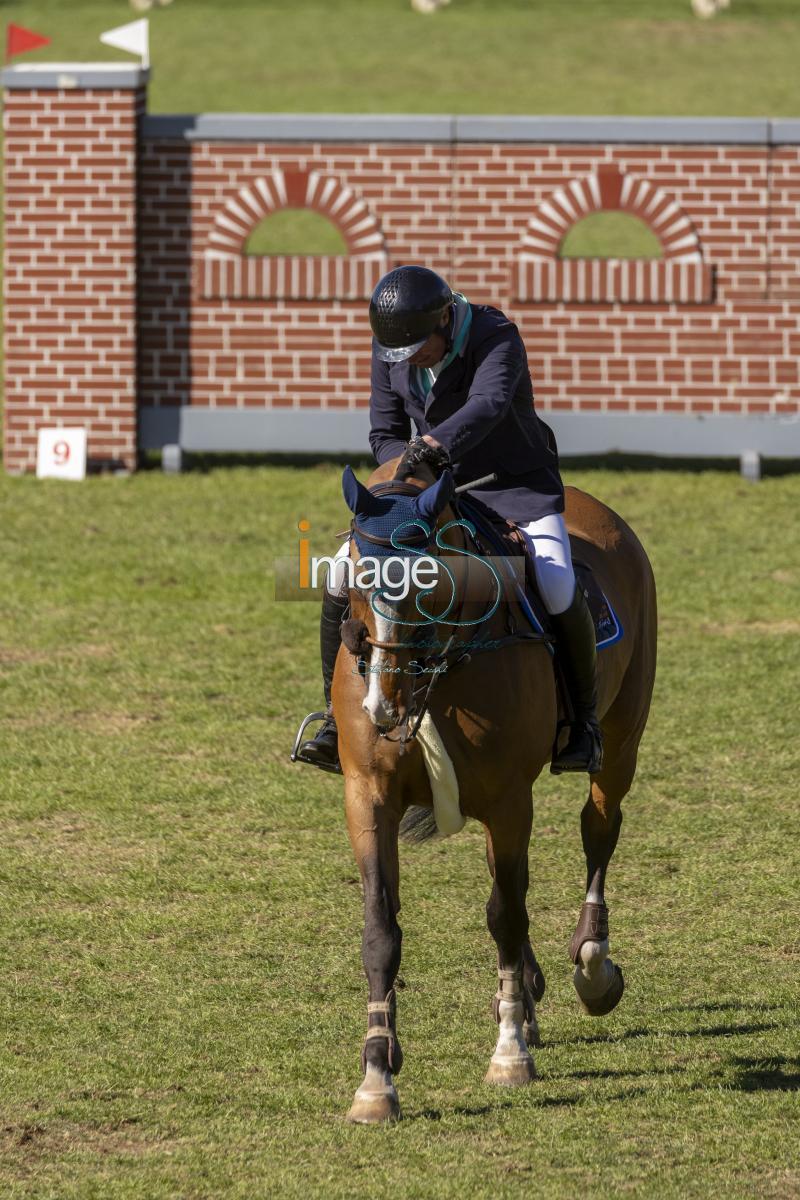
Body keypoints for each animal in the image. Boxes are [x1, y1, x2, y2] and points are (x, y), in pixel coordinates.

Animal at [331, 458, 657, 1123]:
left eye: (427, 585)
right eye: (351, 582)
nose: (382, 708)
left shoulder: (510, 799)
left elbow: (505, 915)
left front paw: (509, 1056)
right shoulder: (367, 798)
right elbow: (381, 931)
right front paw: (376, 1078)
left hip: (620, 741)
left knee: (598, 830)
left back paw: (593, 967)